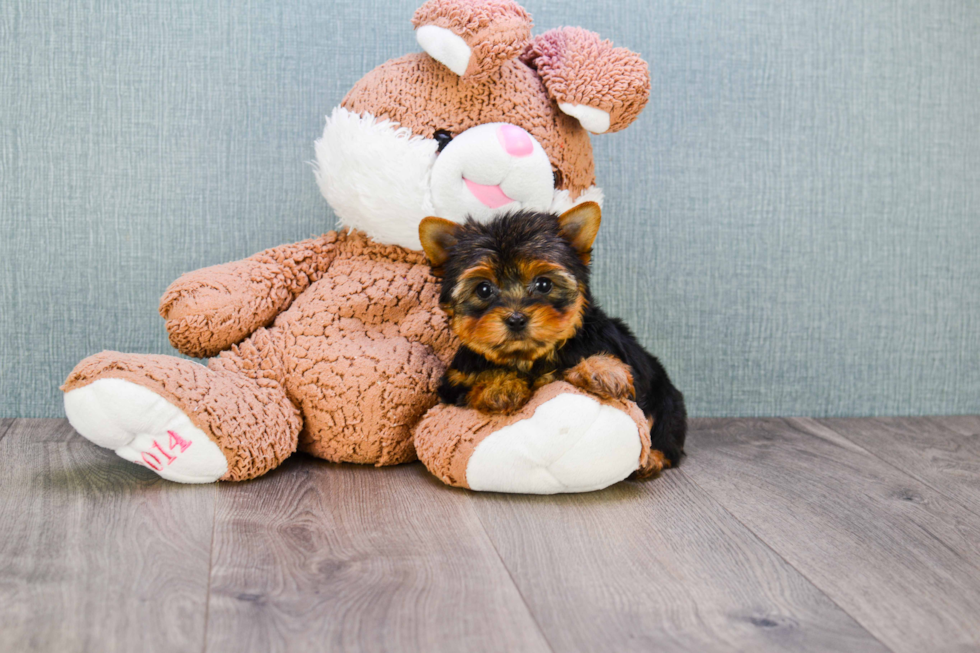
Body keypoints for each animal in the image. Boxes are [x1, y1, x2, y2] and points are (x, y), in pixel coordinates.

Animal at [422, 201, 688, 466]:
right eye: (484, 289)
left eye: (544, 284)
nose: (516, 319)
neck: (530, 357)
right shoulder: (455, 381)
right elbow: (479, 380)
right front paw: (499, 385)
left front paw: (603, 369)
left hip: (667, 398)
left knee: (666, 431)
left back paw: (652, 460)